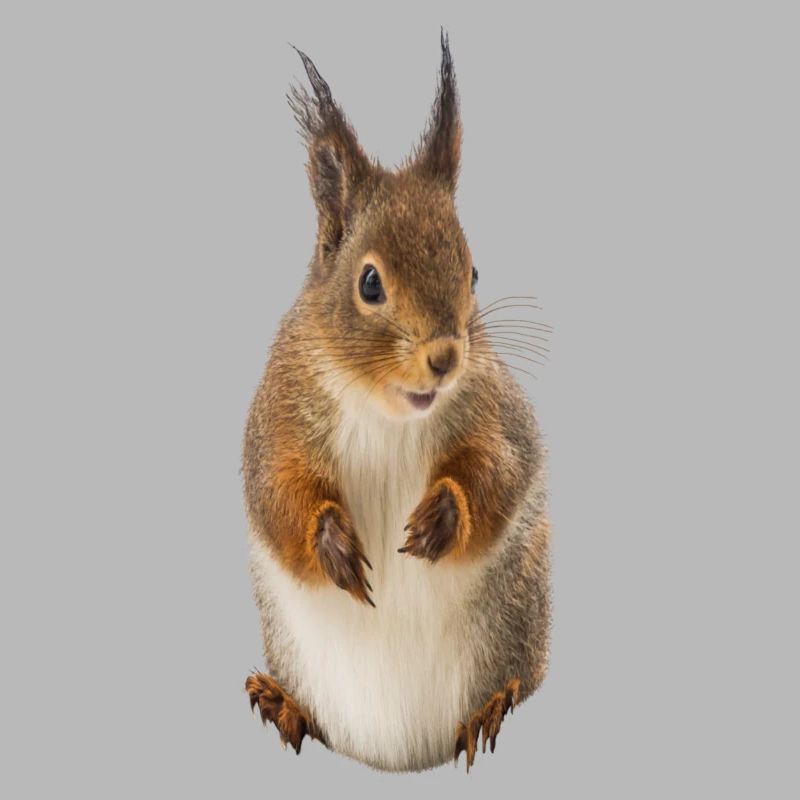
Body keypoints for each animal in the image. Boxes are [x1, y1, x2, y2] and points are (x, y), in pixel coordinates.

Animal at [243, 31, 551, 773]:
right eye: (370, 283)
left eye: (473, 273)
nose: (445, 357)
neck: (385, 408)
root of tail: (395, 757)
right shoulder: (279, 413)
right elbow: (276, 492)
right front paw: (331, 543)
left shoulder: (498, 411)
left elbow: (502, 470)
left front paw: (443, 516)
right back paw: (282, 703)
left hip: (518, 615)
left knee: (519, 678)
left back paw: (492, 707)